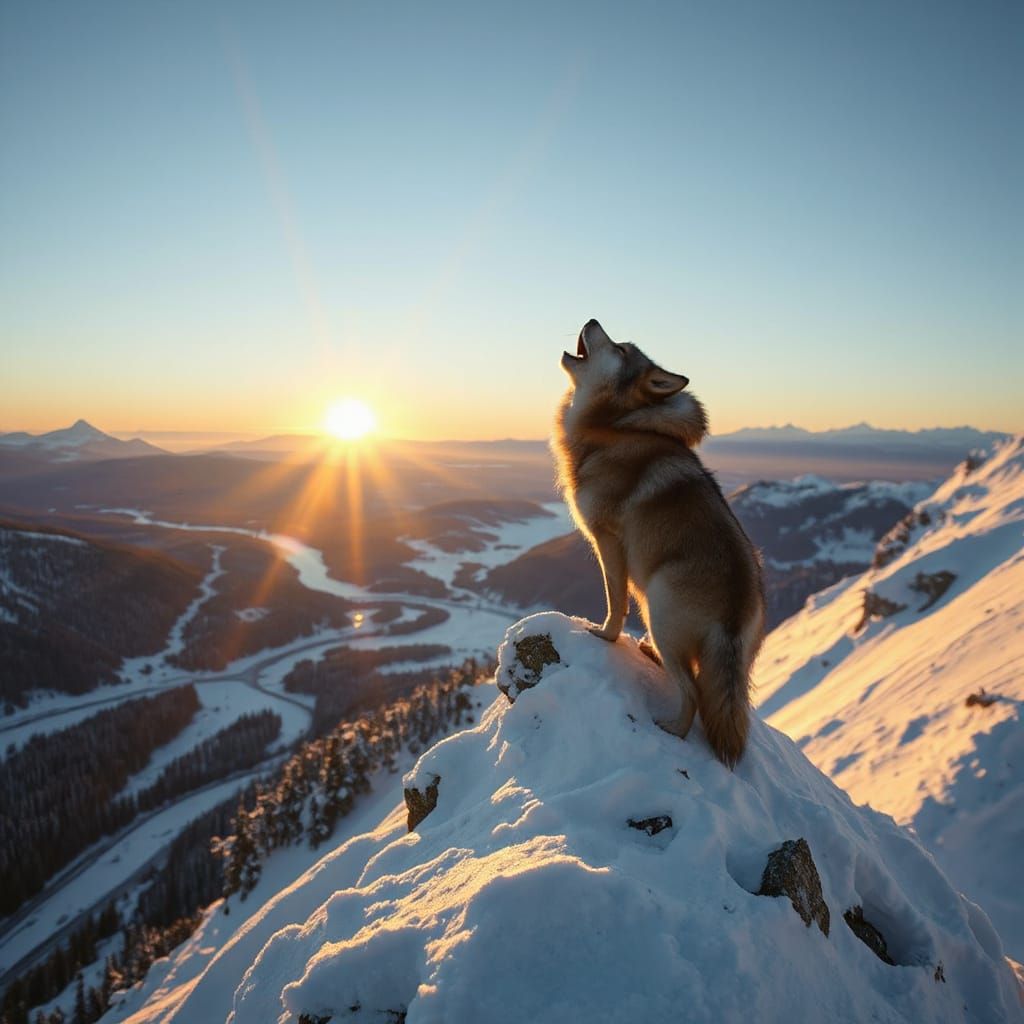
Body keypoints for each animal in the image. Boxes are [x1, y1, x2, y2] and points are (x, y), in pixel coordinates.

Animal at [552, 319, 764, 767]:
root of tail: (737, 607)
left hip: (658, 612)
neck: (612, 428)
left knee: (694, 693)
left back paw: (671, 730)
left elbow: (614, 600)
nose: (592, 319)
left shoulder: (607, 541)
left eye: (620, 348)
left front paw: (602, 635)